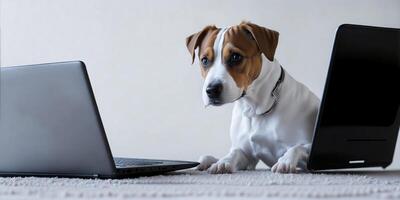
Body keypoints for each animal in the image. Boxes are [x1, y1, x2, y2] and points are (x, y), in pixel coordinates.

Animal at [184, 21, 318, 173]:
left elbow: (297, 147)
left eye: (235, 57)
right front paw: (223, 161)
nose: (211, 90)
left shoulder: (311, 149)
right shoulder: (247, 156)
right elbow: (235, 152)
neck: (254, 109)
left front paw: (285, 161)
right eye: (205, 60)